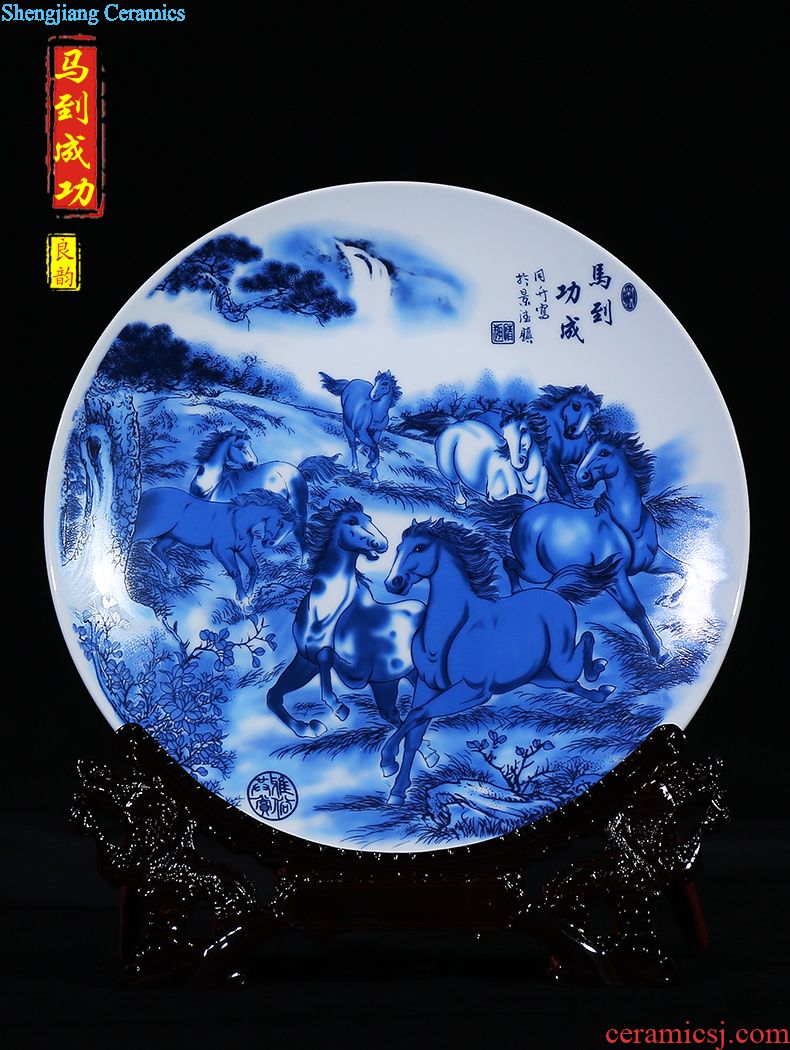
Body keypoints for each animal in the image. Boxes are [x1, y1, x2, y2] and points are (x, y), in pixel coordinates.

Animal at [132, 486, 291, 601]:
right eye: (281, 523)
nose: (268, 543)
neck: (238, 521)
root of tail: (145, 494)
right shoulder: (222, 551)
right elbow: (236, 572)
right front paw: (243, 599)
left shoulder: (243, 549)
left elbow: (254, 568)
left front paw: (249, 594)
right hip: (150, 528)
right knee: (134, 540)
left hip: (171, 538)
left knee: (156, 549)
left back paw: (173, 576)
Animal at [266, 499, 432, 747]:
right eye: (352, 521)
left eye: (369, 519)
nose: (381, 543)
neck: (324, 613)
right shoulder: (305, 661)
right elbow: (274, 695)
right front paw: (309, 728)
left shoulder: (358, 673)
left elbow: (327, 657)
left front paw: (338, 707)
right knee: (398, 714)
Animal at [381, 518, 616, 804]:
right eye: (398, 548)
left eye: (419, 547)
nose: (394, 583)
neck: (451, 629)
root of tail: (550, 591)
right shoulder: (427, 686)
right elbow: (414, 731)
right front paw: (397, 791)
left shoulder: (474, 691)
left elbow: (417, 714)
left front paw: (387, 761)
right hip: (540, 677)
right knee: (570, 684)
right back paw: (602, 692)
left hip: (561, 660)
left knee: (586, 643)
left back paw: (598, 671)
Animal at [501, 431, 687, 663]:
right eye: (587, 450)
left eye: (604, 452)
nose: (581, 476)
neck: (627, 523)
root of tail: (528, 510)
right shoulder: (616, 575)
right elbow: (635, 610)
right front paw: (661, 653)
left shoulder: (653, 561)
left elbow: (688, 569)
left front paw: (671, 600)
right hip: (535, 572)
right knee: (509, 563)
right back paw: (518, 593)